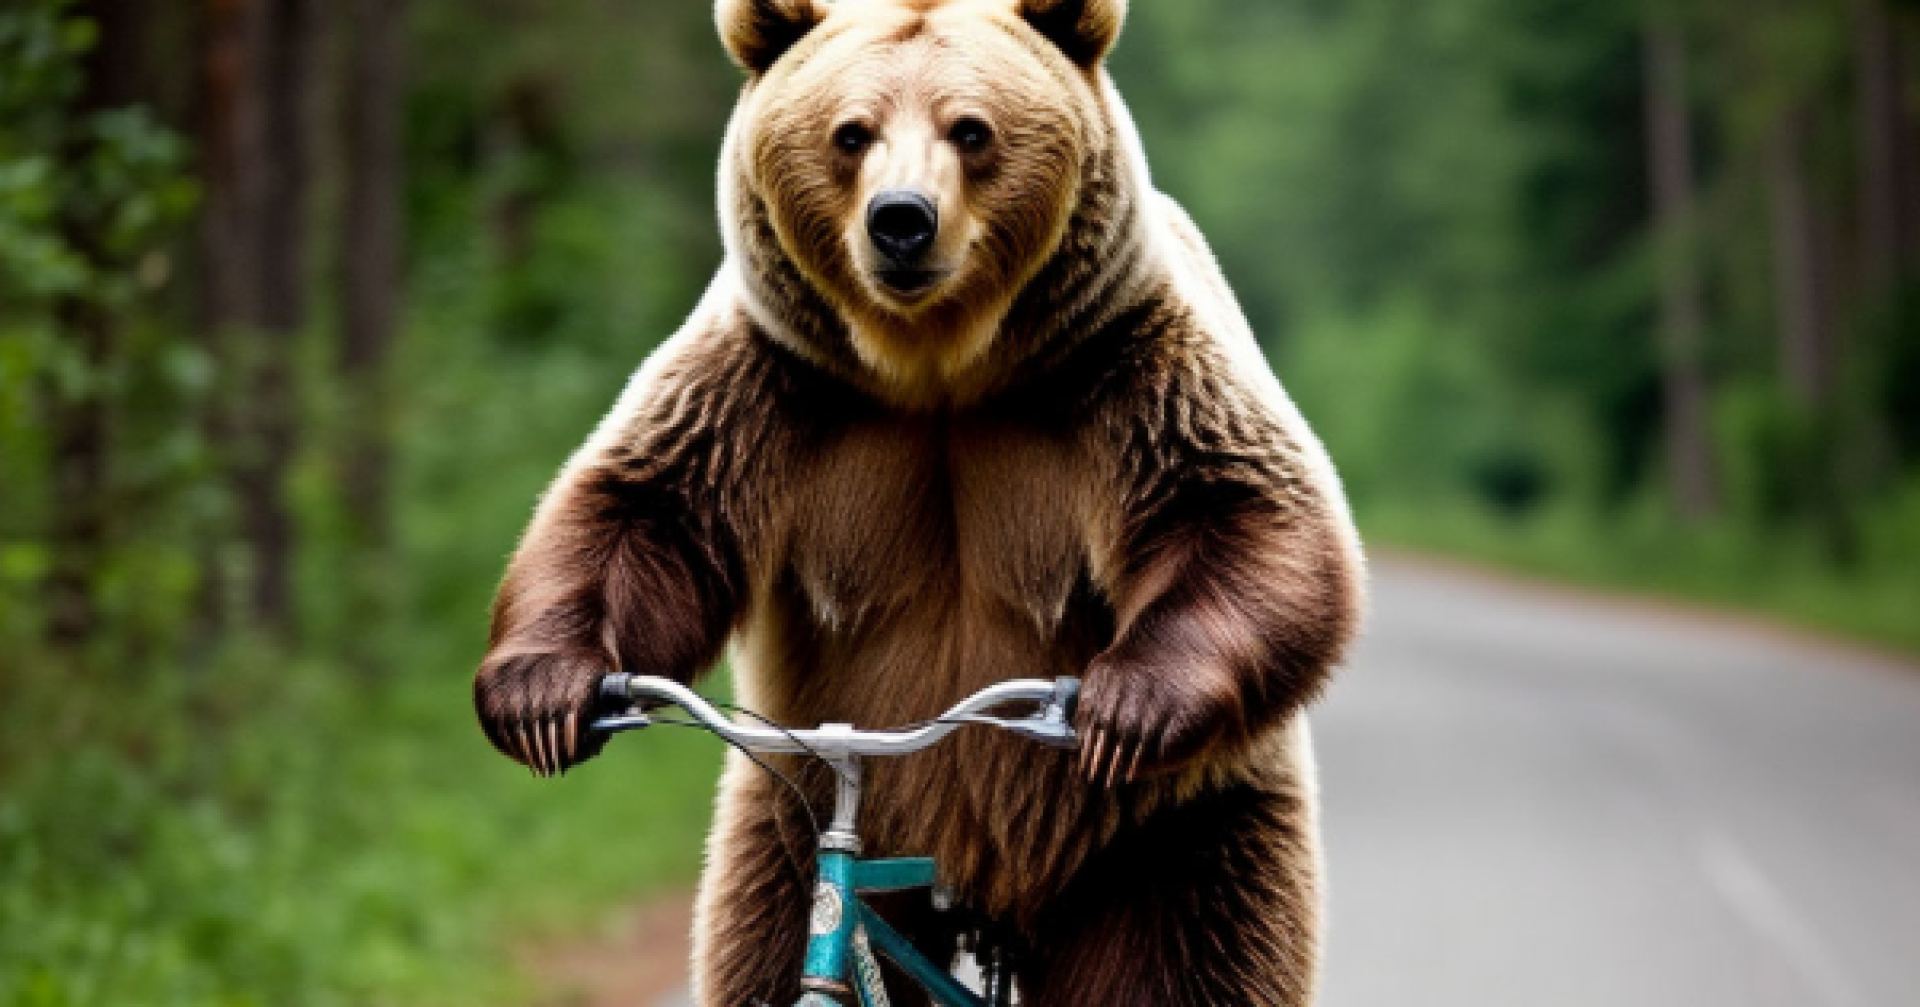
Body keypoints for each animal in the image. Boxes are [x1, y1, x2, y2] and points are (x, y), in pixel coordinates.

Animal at [472, 0, 1366, 1003]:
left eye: (970, 129)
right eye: (851, 132)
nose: (902, 219)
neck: (937, 365)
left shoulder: (1122, 366)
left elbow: (1241, 507)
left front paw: (1132, 700)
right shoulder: (773, 382)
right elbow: (645, 509)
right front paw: (543, 690)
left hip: (1174, 835)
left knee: (1182, 959)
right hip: (780, 826)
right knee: (756, 941)